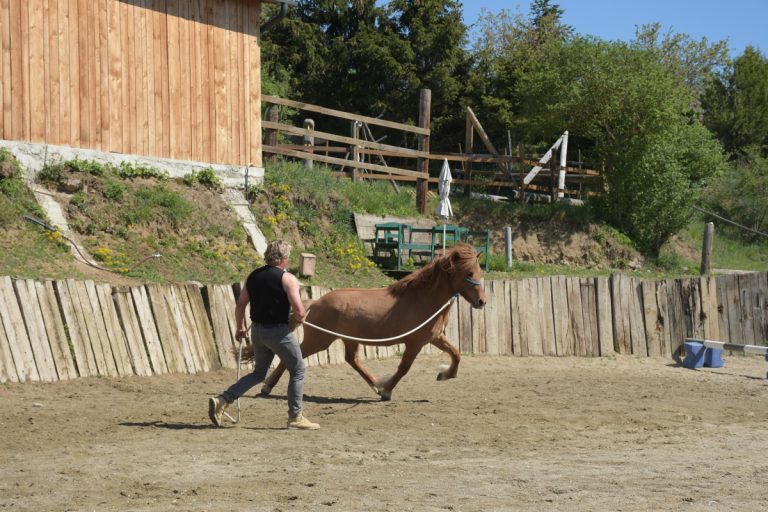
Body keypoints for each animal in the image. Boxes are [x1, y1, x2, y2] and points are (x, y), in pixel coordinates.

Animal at [258, 242, 486, 402]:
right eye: (469, 273)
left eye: (479, 272)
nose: (482, 302)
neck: (424, 299)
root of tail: (316, 302)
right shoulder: (414, 343)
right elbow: (404, 368)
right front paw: (387, 391)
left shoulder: (434, 337)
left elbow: (456, 354)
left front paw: (444, 375)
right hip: (320, 340)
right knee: (295, 355)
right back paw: (266, 387)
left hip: (348, 339)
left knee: (352, 360)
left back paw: (375, 384)